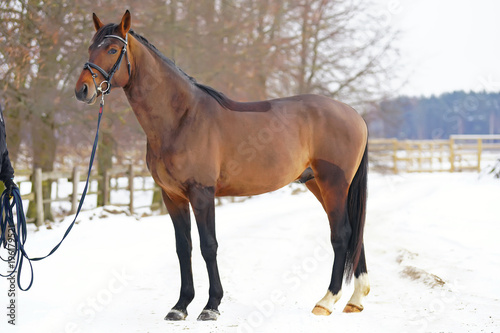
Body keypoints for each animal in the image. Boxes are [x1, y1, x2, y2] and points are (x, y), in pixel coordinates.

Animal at [75, 11, 372, 320]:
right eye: (90, 47)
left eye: (112, 49)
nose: (82, 89)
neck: (181, 118)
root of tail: (354, 115)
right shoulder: (172, 197)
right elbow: (184, 247)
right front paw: (180, 306)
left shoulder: (202, 193)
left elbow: (209, 246)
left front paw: (211, 305)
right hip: (320, 185)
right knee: (354, 232)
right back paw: (355, 299)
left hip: (333, 184)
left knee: (342, 234)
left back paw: (327, 300)